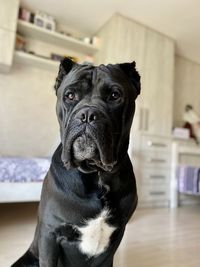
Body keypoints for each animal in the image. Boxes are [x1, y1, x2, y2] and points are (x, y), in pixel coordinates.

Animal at [11, 59, 141, 267]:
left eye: (115, 95)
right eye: (70, 95)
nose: (87, 114)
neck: (96, 175)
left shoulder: (115, 238)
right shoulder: (50, 234)